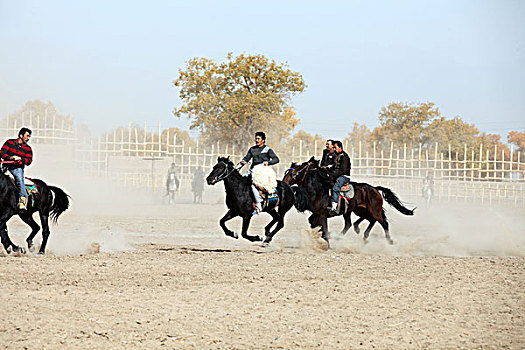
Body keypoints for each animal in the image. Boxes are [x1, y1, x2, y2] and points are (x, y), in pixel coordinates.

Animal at [282, 158, 414, 243]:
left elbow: (324, 230)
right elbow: (313, 223)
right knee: (357, 223)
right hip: (359, 210)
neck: (318, 188)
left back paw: (389, 241)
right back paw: (360, 233)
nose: (285, 182)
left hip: (373, 210)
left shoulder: (322, 214)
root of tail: (375, 189)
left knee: (383, 222)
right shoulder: (317, 214)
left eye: (294, 173)